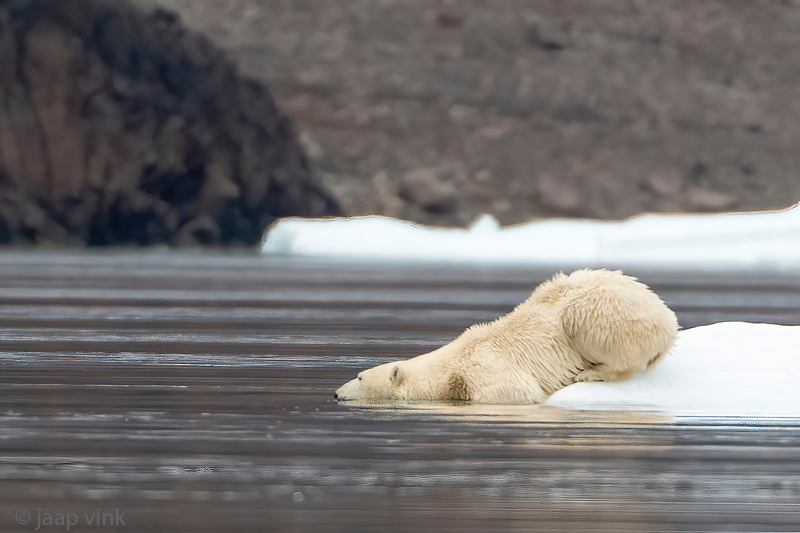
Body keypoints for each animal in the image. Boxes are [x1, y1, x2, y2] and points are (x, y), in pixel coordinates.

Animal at [334, 268, 680, 406]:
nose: (336, 393)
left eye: (360, 377)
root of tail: (667, 318)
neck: (450, 370)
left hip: (604, 311)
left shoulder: (486, 372)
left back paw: (589, 373)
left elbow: (518, 393)